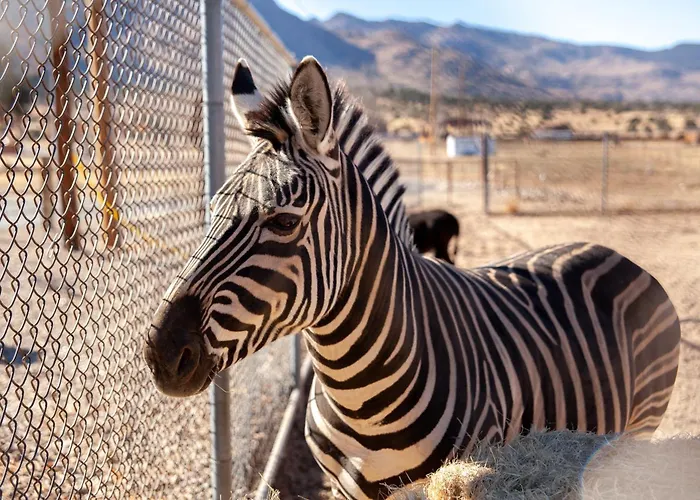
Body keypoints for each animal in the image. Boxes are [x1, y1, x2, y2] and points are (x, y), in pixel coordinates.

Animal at [143, 56, 681, 500]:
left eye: (284, 222)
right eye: (212, 207)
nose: (160, 354)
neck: (355, 392)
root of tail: (607, 247)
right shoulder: (343, 489)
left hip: (642, 422)